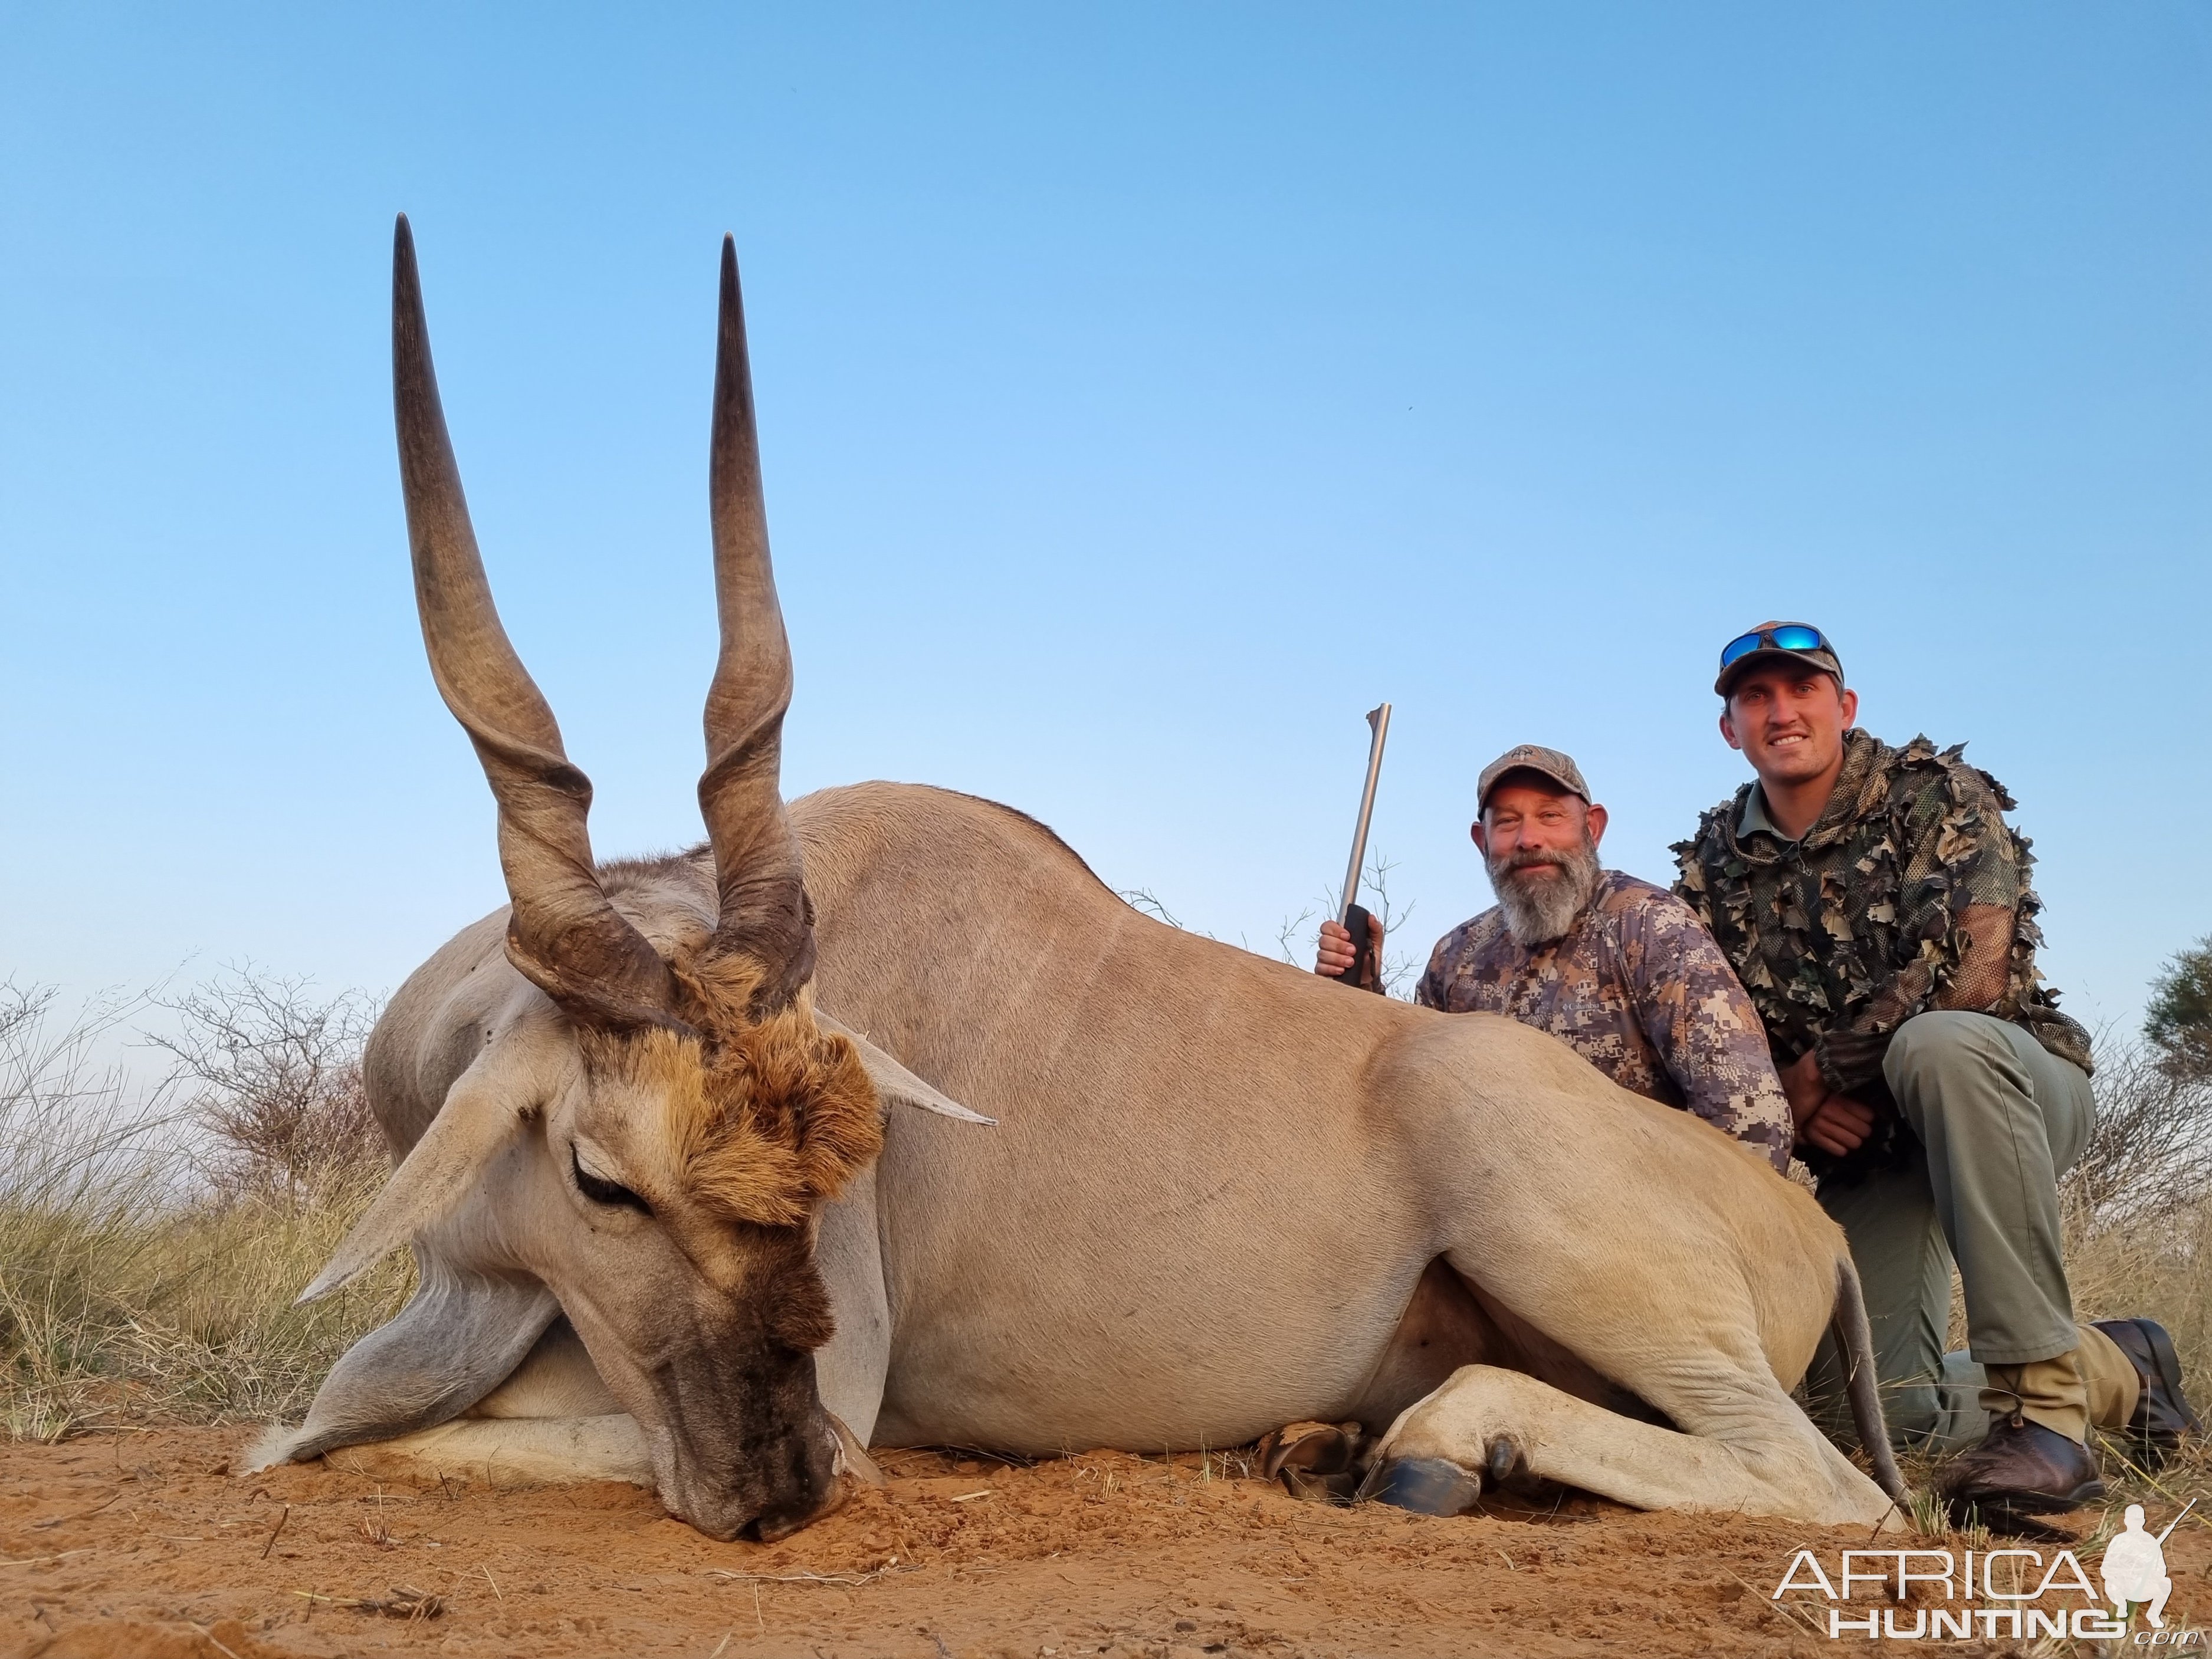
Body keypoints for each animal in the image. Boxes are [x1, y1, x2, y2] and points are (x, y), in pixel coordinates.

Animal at [242, 218, 1911, 1548]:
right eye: (602, 1179)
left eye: (822, 1184)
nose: (782, 1490)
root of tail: (1813, 1225)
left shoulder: (835, 1389)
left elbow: (338, 1438)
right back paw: (1329, 1443)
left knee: (1832, 1486)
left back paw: (1434, 1444)